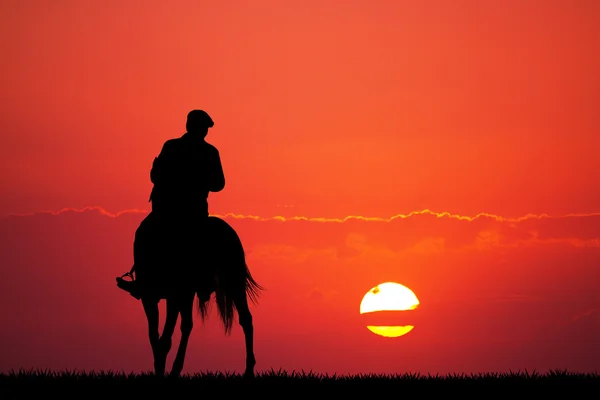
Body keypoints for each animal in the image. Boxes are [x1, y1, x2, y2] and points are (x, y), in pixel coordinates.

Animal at [118, 214, 264, 376]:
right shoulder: (150, 298)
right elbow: (154, 335)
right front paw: (159, 366)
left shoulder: (175, 295)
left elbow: (166, 336)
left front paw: (162, 366)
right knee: (243, 318)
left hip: (231, 283)